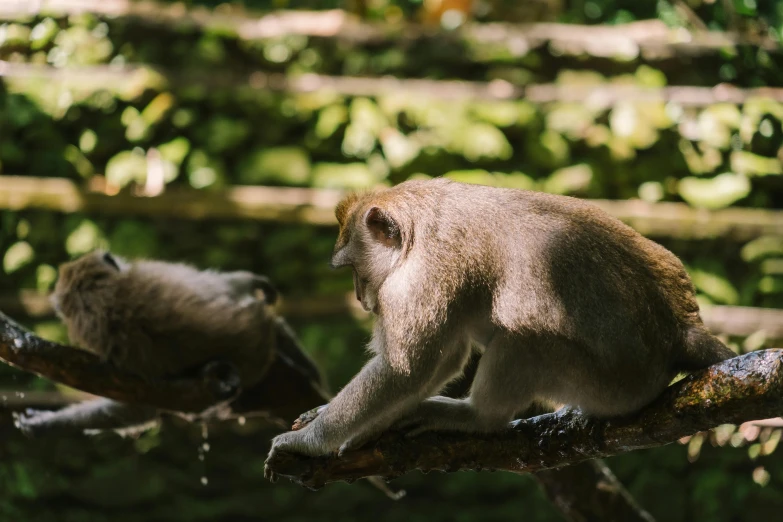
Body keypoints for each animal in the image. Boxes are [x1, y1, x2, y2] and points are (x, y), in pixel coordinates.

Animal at [266, 178, 740, 468]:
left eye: (353, 268)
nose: (360, 297)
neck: (418, 224)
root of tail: (681, 329)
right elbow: (438, 362)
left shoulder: (421, 275)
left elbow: (407, 370)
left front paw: (310, 442)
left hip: (612, 386)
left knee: (521, 340)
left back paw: (476, 417)